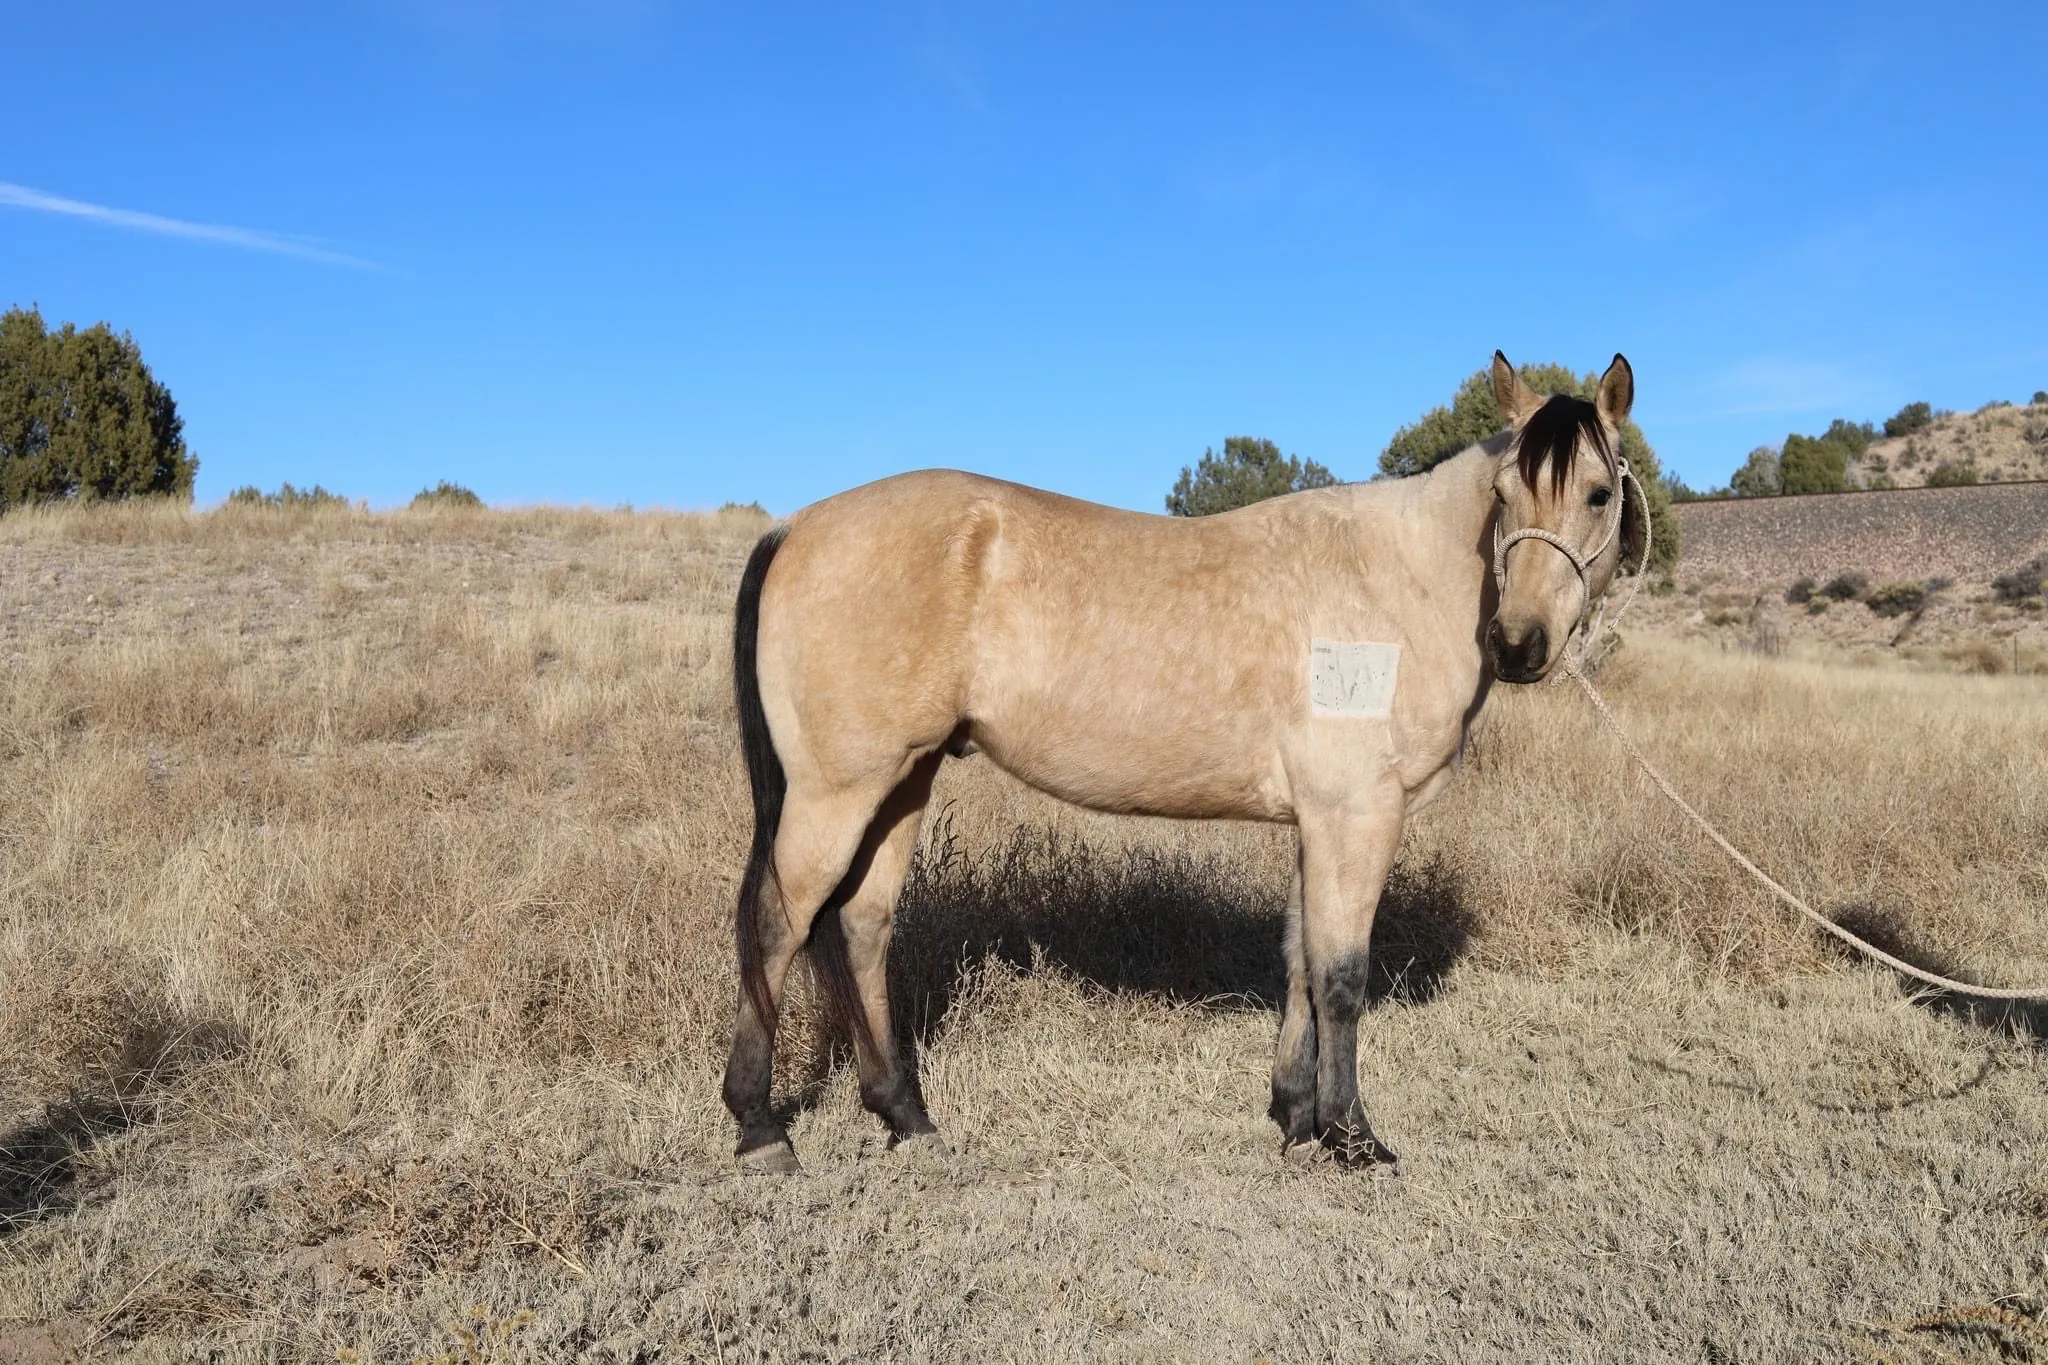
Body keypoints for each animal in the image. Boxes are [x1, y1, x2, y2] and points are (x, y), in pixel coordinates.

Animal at [722, 351, 1645, 1173]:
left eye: (1597, 494)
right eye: (1503, 495)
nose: (1518, 642)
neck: (1395, 581)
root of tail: (796, 526)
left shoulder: (1320, 820)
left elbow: (1301, 962)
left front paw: (1296, 1120)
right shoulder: (1359, 815)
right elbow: (1343, 974)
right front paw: (1353, 1139)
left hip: (902, 782)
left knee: (863, 924)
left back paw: (906, 1117)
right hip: (837, 791)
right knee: (778, 922)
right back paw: (761, 1128)